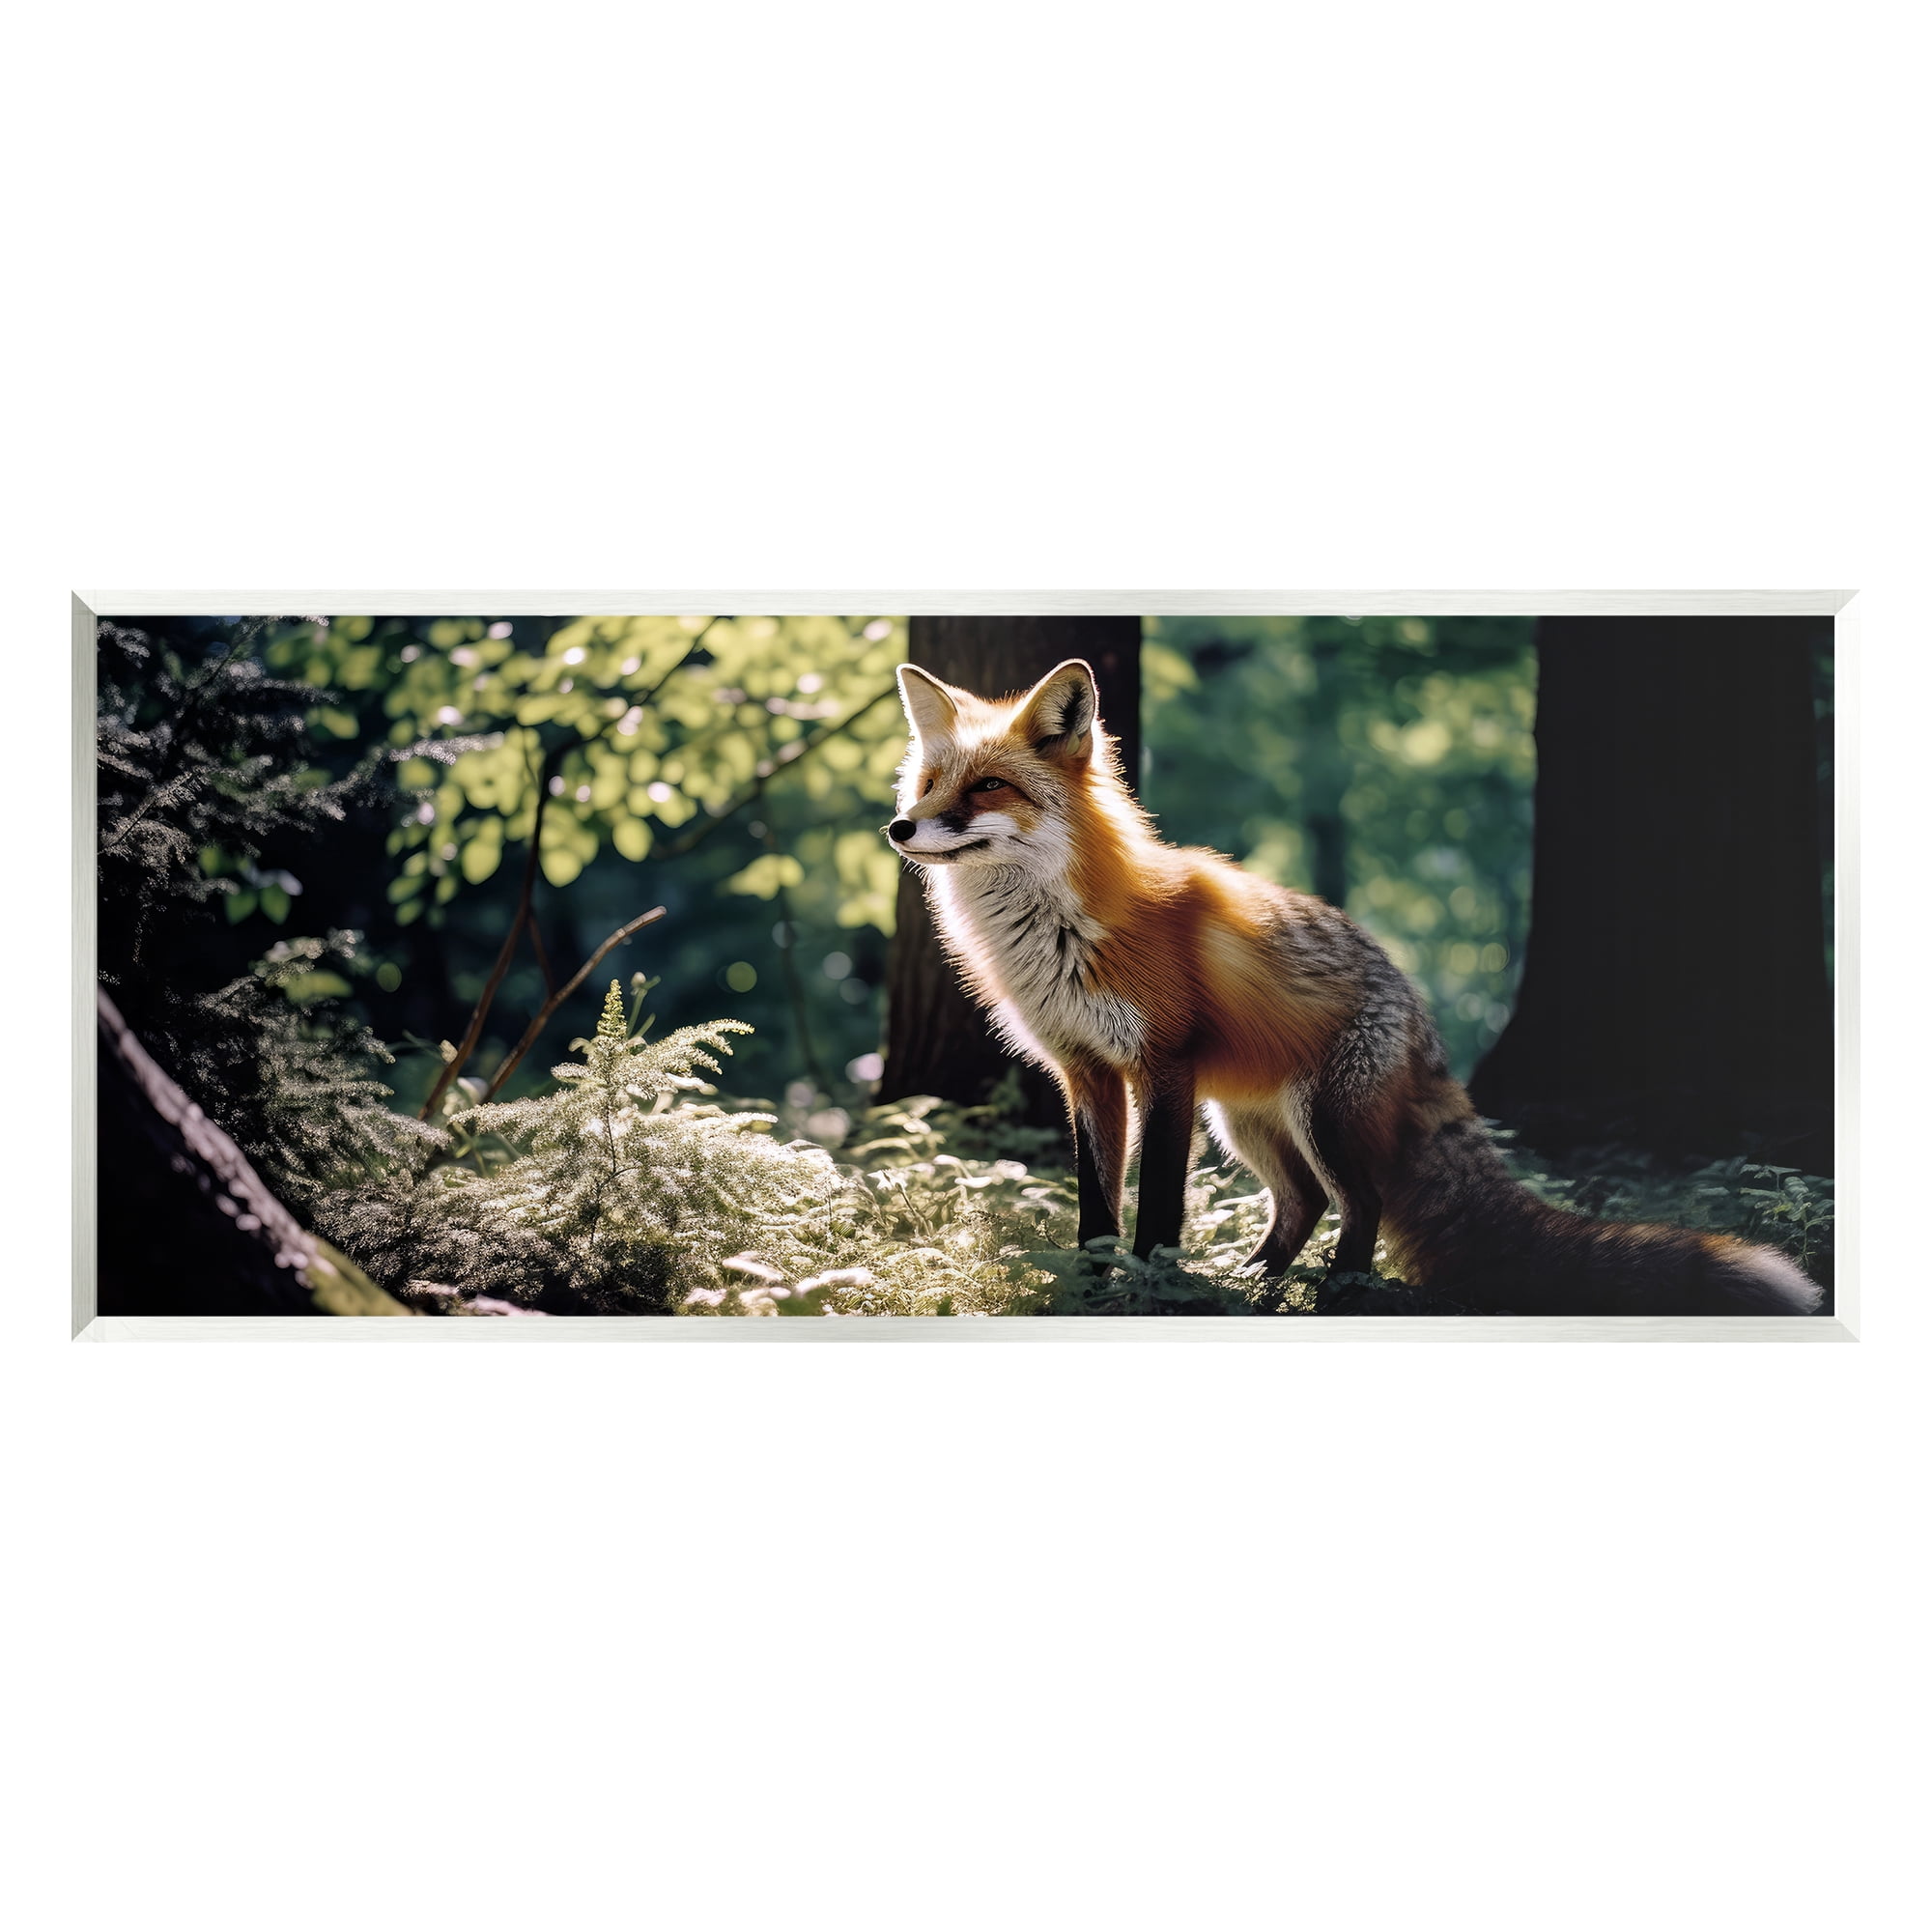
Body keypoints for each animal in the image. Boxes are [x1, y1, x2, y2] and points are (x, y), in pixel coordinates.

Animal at [886, 656, 1822, 1316]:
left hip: (1318, 1117)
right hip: (1248, 1120)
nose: (898, 827)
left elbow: (1156, 1213)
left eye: (990, 786)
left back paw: (1334, 1295)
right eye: (928, 785)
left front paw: (1153, 1292)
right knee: (1300, 1205)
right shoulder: (1086, 1073)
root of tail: (1414, 1003)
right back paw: (1253, 1283)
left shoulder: (1164, 1065)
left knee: (1359, 1203)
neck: (1060, 933)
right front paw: (1090, 1291)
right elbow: (1096, 1212)